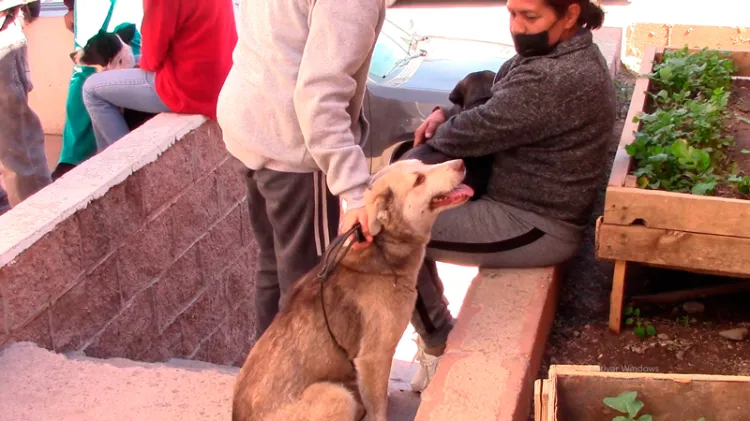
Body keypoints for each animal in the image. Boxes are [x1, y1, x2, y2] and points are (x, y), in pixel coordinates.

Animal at [232, 158, 472, 420]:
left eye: (424, 164)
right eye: (419, 179)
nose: (460, 163)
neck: (382, 251)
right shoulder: (373, 357)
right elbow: (378, 409)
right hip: (337, 396)